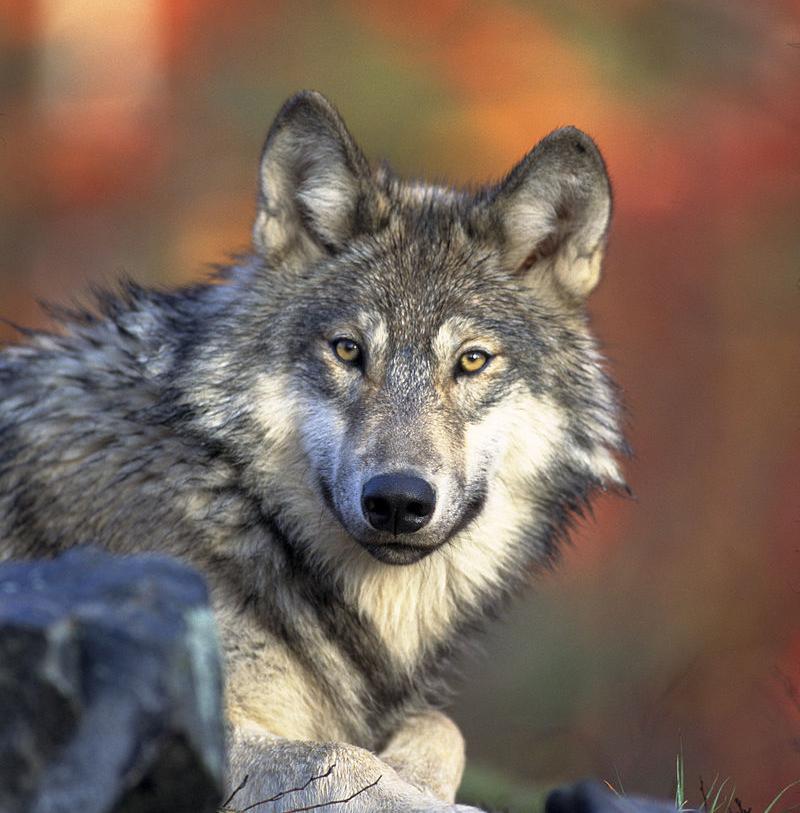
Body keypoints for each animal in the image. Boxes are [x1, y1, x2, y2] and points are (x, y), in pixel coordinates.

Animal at [0, 91, 625, 811]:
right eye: (349, 350)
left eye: (472, 360)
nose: (397, 501)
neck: (236, 501)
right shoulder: (183, 725)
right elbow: (342, 757)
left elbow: (441, 727)